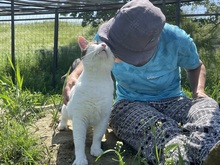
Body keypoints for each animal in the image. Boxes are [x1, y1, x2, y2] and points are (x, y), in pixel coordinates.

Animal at [57, 35, 114, 165]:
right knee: (63, 116)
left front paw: (96, 149)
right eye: (96, 43)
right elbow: (79, 142)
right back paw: (62, 125)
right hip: (66, 108)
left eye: (109, 45)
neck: (97, 80)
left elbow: (98, 136)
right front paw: (80, 159)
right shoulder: (79, 119)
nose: (104, 45)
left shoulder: (103, 118)